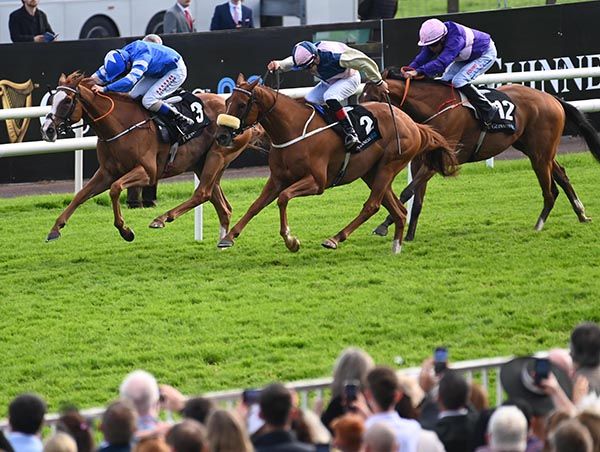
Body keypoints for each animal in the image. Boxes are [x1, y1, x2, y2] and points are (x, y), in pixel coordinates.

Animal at [41, 70, 258, 242]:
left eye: (67, 101)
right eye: (52, 101)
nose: (48, 130)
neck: (119, 125)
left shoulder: (147, 172)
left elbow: (115, 189)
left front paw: (125, 231)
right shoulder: (106, 173)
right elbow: (80, 195)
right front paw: (55, 229)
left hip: (218, 155)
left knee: (203, 193)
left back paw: (161, 219)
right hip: (200, 163)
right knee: (223, 207)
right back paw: (223, 241)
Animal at [213, 72, 458, 252]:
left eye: (242, 104)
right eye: (227, 101)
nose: (222, 136)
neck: (293, 130)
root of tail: (413, 124)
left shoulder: (317, 182)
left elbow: (283, 198)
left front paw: (291, 240)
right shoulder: (277, 178)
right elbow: (256, 205)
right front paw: (229, 237)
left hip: (389, 166)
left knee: (372, 205)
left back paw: (335, 238)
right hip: (372, 172)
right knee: (398, 210)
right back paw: (396, 246)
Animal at [364, 69, 600, 240]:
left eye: (373, 96)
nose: (366, 119)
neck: (434, 108)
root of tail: (552, 98)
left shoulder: (440, 160)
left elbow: (406, 192)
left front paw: (383, 226)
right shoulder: (420, 161)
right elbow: (416, 198)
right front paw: (409, 235)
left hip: (540, 154)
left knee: (550, 190)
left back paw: (540, 224)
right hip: (537, 149)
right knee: (561, 175)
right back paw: (581, 213)